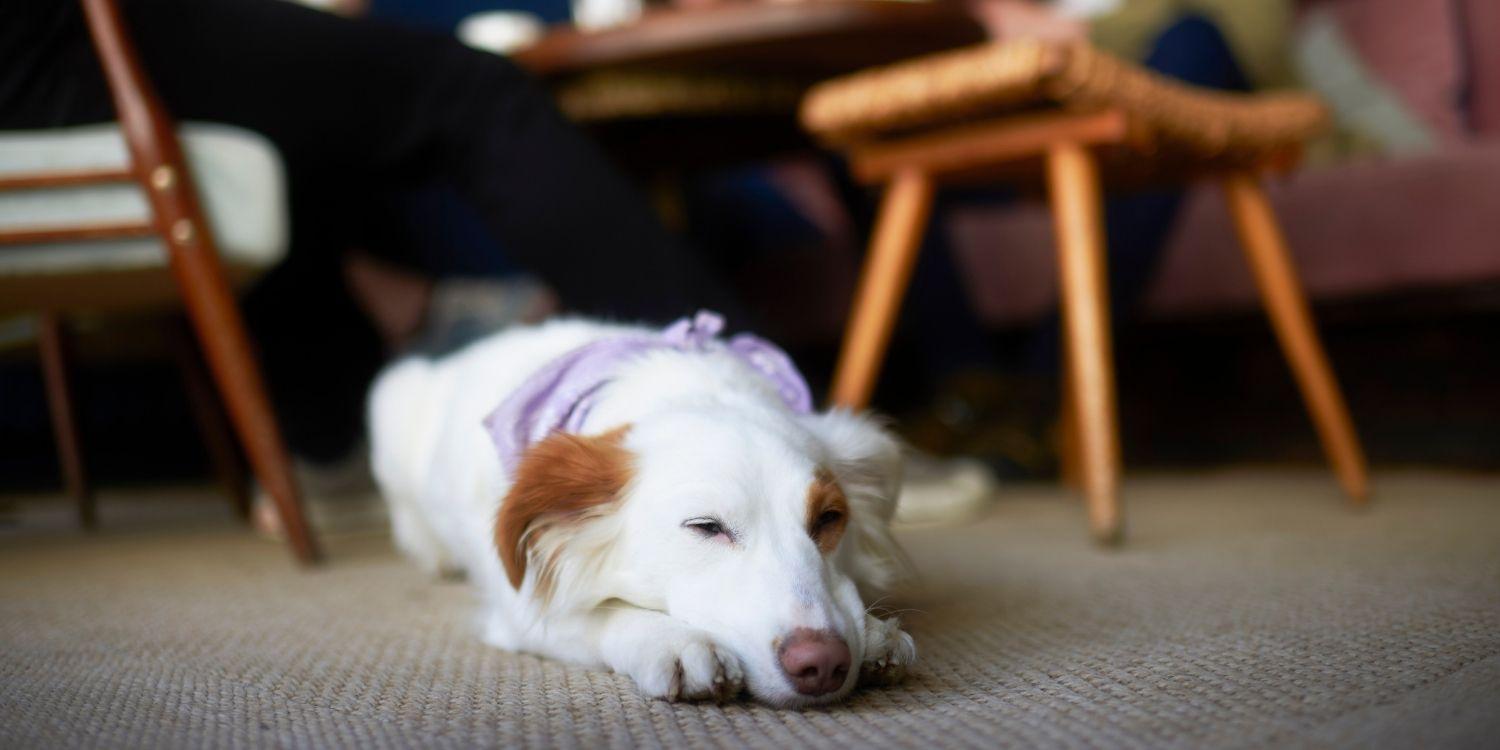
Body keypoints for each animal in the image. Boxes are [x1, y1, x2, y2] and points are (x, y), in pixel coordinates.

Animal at [369, 309, 918, 702]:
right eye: (705, 526)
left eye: (829, 519)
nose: (823, 663)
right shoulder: (522, 605)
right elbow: (599, 615)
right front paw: (673, 640)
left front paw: (873, 633)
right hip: (391, 397)